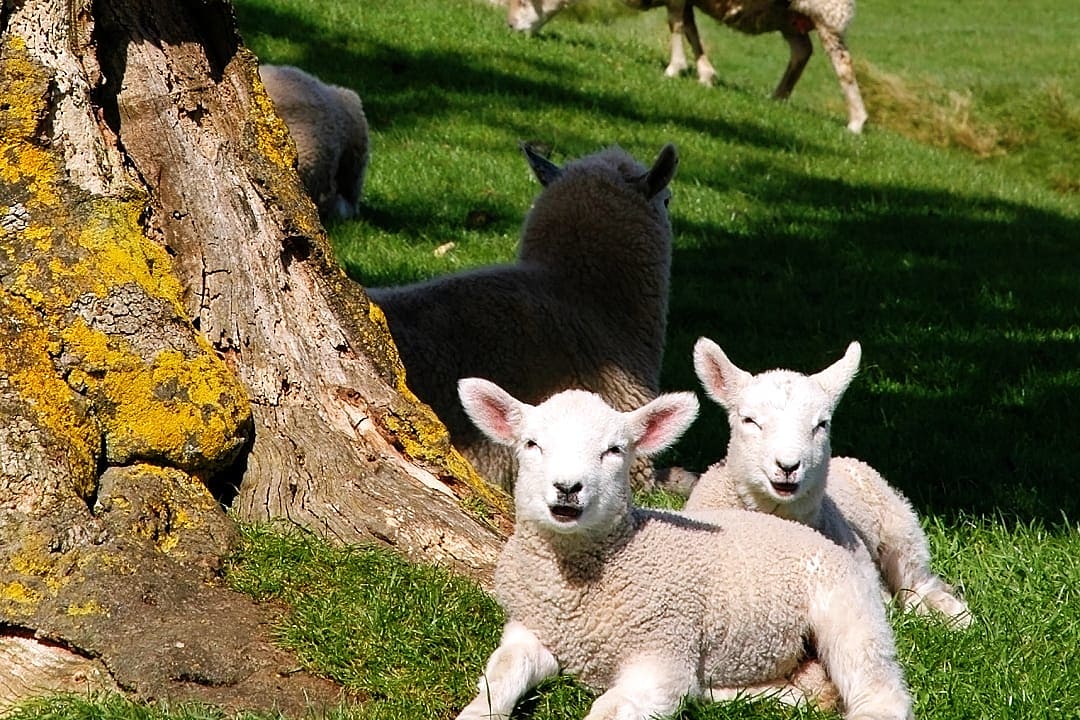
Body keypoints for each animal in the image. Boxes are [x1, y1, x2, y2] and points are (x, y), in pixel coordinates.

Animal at [455, 377, 914, 720]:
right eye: (532, 444)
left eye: (614, 450)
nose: (568, 488)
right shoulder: (530, 630)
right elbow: (502, 672)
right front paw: (476, 712)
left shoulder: (662, 654)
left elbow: (609, 708)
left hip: (847, 609)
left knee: (879, 685)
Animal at [506, 0, 868, 133]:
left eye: (522, 1)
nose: (509, 27)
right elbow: (690, 29)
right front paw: (705, 74)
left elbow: (676, 24)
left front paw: (675, 69)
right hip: (789, 14)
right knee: (802, 50)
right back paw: (778, 97)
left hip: (827, 12)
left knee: (842, 63)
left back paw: (856, 121)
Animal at [683, 337, 973, 628]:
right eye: (749, 420)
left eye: (822, 424)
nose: (788, 466)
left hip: (901, 529)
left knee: (917, 584)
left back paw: (954, 615)